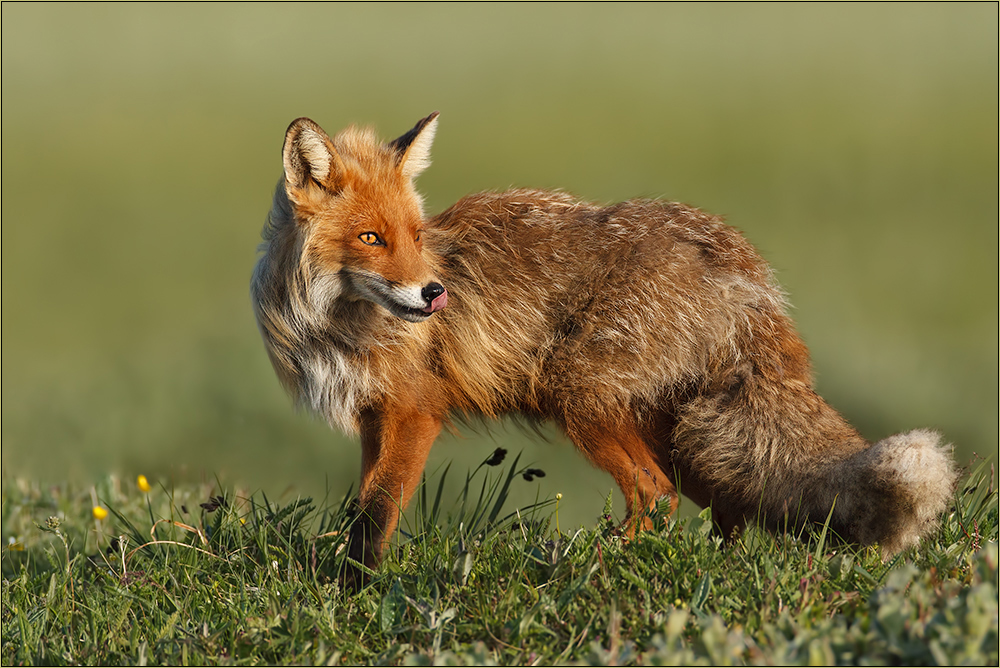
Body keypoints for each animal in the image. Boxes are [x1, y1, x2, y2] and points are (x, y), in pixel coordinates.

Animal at [250, 112, 952, 580]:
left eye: (417, 235)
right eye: (371, 238)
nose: (435, 294)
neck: (333, 326)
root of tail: (746, 271)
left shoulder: (414, 410)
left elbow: (377, 511)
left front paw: (357, 586)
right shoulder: (377, 416)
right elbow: (364, 505)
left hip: (582, 399)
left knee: (657, 497)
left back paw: (591, 561)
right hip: (683, 433)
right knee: (726, 508)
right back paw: (705, 568)